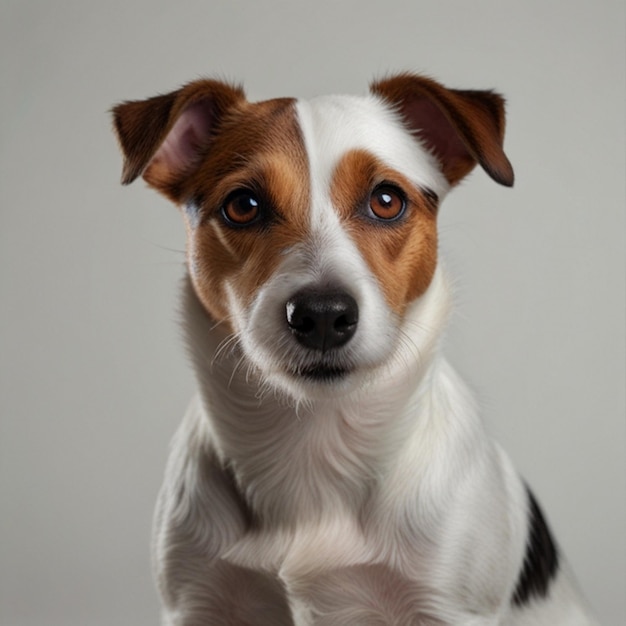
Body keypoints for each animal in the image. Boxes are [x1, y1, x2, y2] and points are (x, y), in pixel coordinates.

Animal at [112, 74, 596, 624]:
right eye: (243, 206)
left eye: (386, 200)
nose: (322, 315)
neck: (315, 443)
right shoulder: (196, 601)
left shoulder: (452, 606)